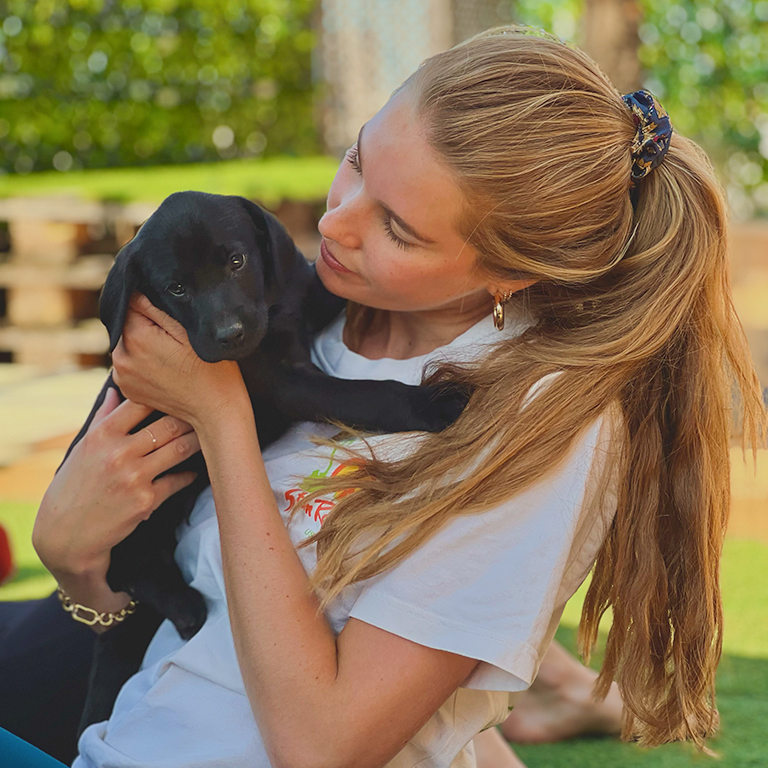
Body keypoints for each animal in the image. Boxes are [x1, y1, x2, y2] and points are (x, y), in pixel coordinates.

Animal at [70, 192, 468, 732]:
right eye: (176, 288)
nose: (230, 334)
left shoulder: (303, 302)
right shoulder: (287, 380)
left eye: (236, 261)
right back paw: (186, 605)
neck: (273, 312)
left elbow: (331, 289)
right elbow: (369, 393)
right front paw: (432, 403)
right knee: (125, 566)